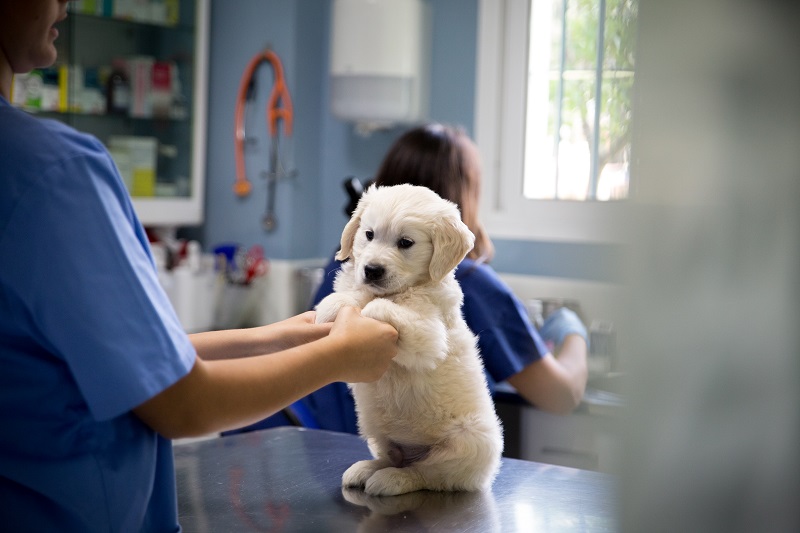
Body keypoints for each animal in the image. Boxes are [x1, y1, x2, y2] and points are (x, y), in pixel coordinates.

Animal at [316, 183, 504, 494]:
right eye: (369, 235)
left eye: (405, 243)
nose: (372, 270)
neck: (406, 288)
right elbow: (357, 293)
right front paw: (334, 305)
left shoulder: (429, 335)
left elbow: (380, 307)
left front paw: (368, 308)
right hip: (375, 429)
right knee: (393, 457)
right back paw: (365, 469)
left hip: (472, 439)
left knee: (428, 474)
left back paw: (390, 479)